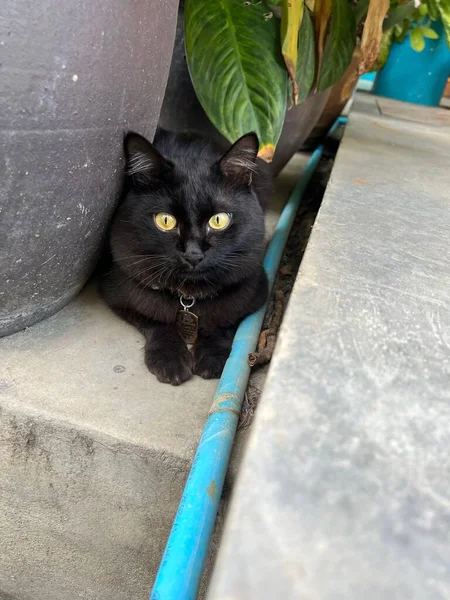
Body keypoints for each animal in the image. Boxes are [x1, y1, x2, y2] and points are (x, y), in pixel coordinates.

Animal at [99, 129, 270, 386]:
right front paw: (169, 359)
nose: (193, 253)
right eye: (165, 220)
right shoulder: (122, 294)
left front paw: (213, 356)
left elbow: (222, 323)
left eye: (218, 220)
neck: (189, 296)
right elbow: (157, 320)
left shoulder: (253, 293)